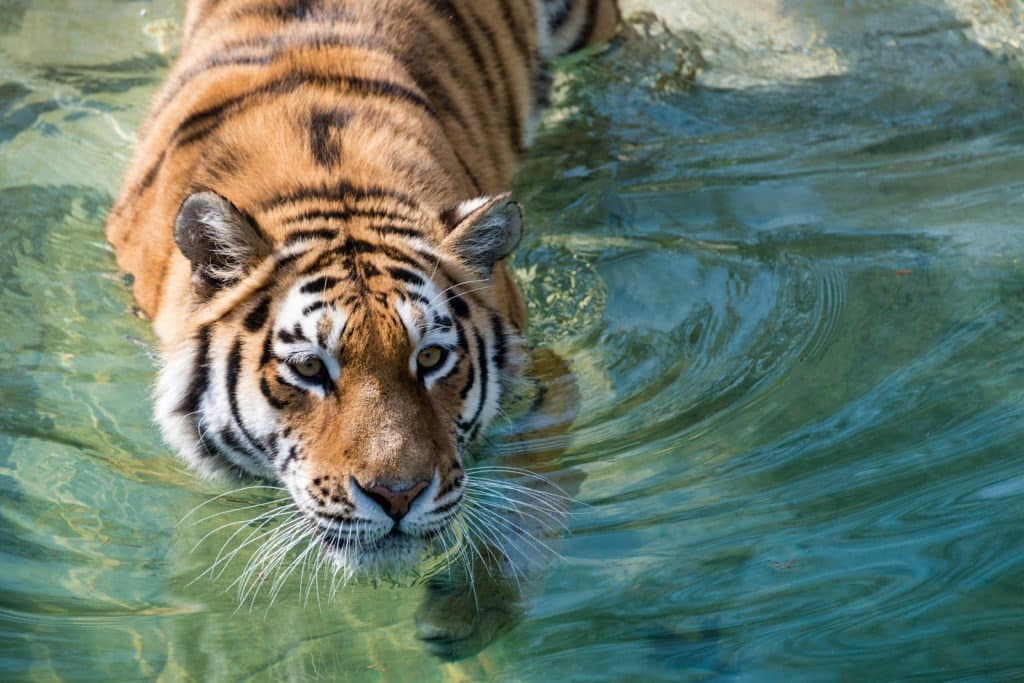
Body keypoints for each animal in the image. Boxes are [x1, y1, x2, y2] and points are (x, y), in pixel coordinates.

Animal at [107, 0, 614, 647]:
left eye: (430, 358)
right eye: (308, 368)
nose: (398, 497)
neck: (335, 187)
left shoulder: (543, 372)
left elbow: (531, 492)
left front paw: (469, 609)